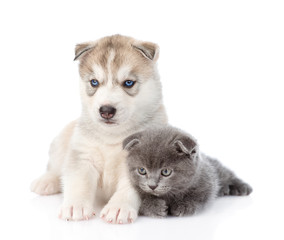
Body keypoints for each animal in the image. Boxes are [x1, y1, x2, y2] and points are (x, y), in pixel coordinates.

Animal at [30, 34, 169, 224]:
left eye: (128, 83)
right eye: (94, 82)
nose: (106, 110)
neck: (113, 135)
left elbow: (129, 188)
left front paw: (119, 207)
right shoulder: (82, 155)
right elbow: (78, 181)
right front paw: (75, 207)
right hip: (62, 140)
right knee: (55, 167)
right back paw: (46, 182)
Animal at [123, 126, 252, 218]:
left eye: (166, 172)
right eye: (142, 170)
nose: (152, 186)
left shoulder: (207, 180)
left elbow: (200, 196)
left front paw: (183, 206)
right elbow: (139, 202)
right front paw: (155, 206)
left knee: (225, 173)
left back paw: (241, 187)